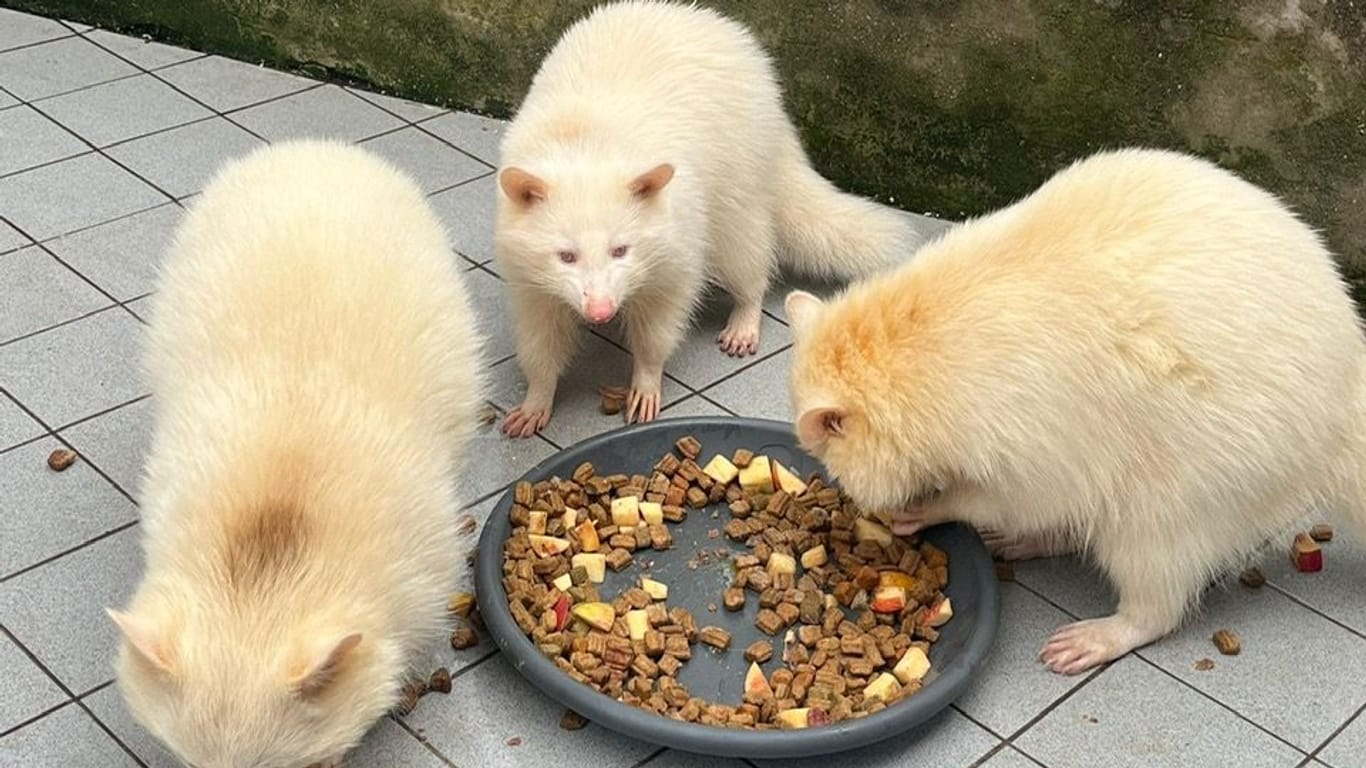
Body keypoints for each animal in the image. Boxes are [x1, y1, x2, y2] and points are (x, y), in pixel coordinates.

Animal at [497, 0, 923, 434]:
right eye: (566, 256)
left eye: (621, 250)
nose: (599, 312)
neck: (585, 147)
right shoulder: (526, 266)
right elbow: (539, 327)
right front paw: (539, 390)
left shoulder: (677, 231)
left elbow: (664, 311)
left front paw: (647, 373)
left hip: (739, 160)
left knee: (742, 244)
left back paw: (748, 302)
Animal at [786, 146, 1366, 672]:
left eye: (830, 452)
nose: (850, 504)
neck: (901, 342)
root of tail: (1344, 406)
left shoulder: (1022, 425)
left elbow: (1017, 495)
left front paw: (935, 505)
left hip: (1206, 479)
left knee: (1154, 565)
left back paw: (1118, 625)